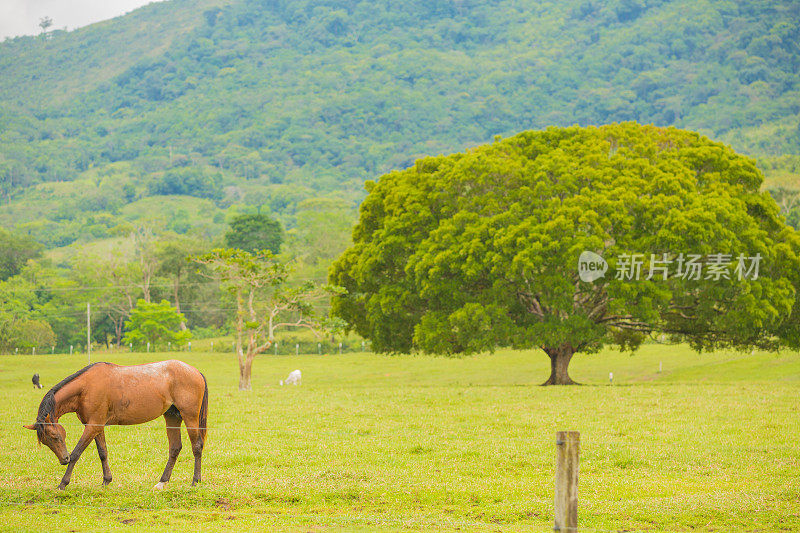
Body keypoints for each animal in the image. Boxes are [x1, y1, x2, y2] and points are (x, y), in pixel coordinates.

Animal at [24, 360, 208, 488]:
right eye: (46, 441)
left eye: (55, 436)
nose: (63, 459)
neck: (86, 387)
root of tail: (195, 371)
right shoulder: (96, 427)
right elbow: (103, 452)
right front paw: (106, 480)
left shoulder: (93, 426)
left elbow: (77, 453)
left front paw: (63, 483)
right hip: (172, 417)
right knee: (175, 448)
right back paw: (162, 482)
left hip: (189, 417)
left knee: (197, 446)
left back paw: (195, 481)